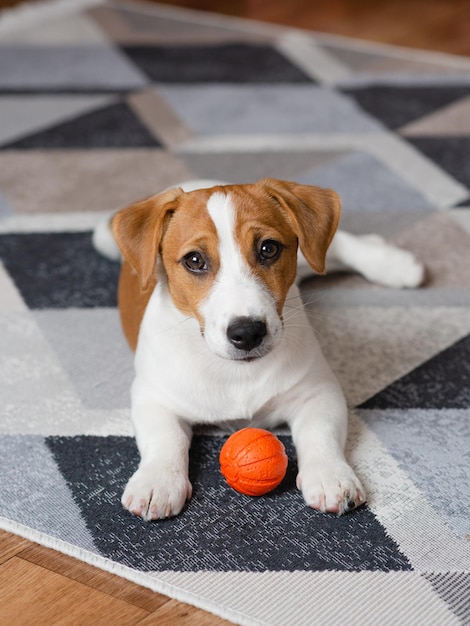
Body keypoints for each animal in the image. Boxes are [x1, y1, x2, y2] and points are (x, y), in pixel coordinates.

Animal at [93, 178, 424, 520]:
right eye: (194, 260)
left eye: (268, 248)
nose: (247, 332)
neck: (235, 371)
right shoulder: (152, 396)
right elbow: (165, 437)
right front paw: (157, 481)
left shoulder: (319, 391)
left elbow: (319, 432)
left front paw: (331, 475)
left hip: (308, 250)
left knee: (334, 247)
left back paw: (393, 264)